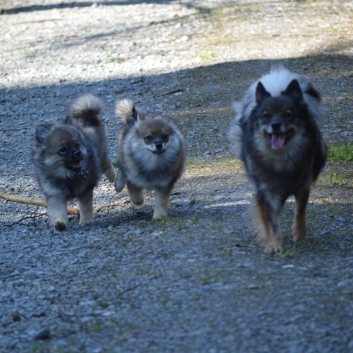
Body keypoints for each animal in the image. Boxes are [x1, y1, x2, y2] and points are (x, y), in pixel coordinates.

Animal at [31, 94, 114, 231]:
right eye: (63, 149)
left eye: (76, 144)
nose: (78, 153)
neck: (68, 176)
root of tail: (87, 117)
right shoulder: (55, 194)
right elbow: (57, 210)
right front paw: (60, 224)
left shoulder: (86, 189)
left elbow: (85, 206)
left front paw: (86, 221)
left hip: (102, 153)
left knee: (107, 163)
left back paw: (112, 176)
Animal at [228, 66, 324, 253]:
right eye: (266, 115)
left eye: (288, 115)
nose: (275, 125)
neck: (281, 159)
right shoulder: (268, 193)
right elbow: (272, 222)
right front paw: (274, 244)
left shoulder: (303, 187)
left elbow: (299, 212)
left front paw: (299, 235)